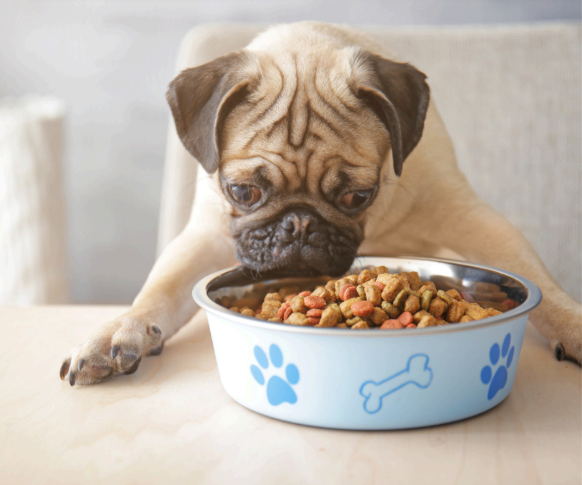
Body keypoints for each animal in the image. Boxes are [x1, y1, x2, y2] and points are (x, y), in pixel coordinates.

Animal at [60, 21, 582, 386]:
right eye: (243, 192)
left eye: (357, 196)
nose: (299, 224)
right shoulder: (206, 237)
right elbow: (159, 291)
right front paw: (118, 331)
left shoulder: (468, 217)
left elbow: (541, 281)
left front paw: (573, 325)